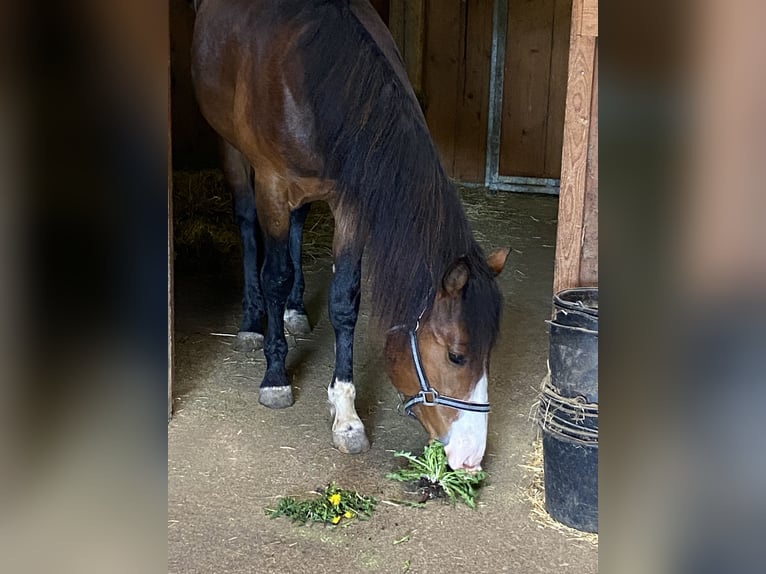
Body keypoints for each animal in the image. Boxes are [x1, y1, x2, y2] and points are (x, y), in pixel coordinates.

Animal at [191, 0, 508, 470]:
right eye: (457, 355)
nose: (470, 457)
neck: (314, 78)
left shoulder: (350, 202)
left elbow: (344, 302)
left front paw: (346, 415)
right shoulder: (272, 188)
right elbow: (274, 275)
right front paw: (275, 377)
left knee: (300, 224)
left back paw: (295, 309)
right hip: (231, 152)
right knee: (248, 227)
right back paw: (252, 323)